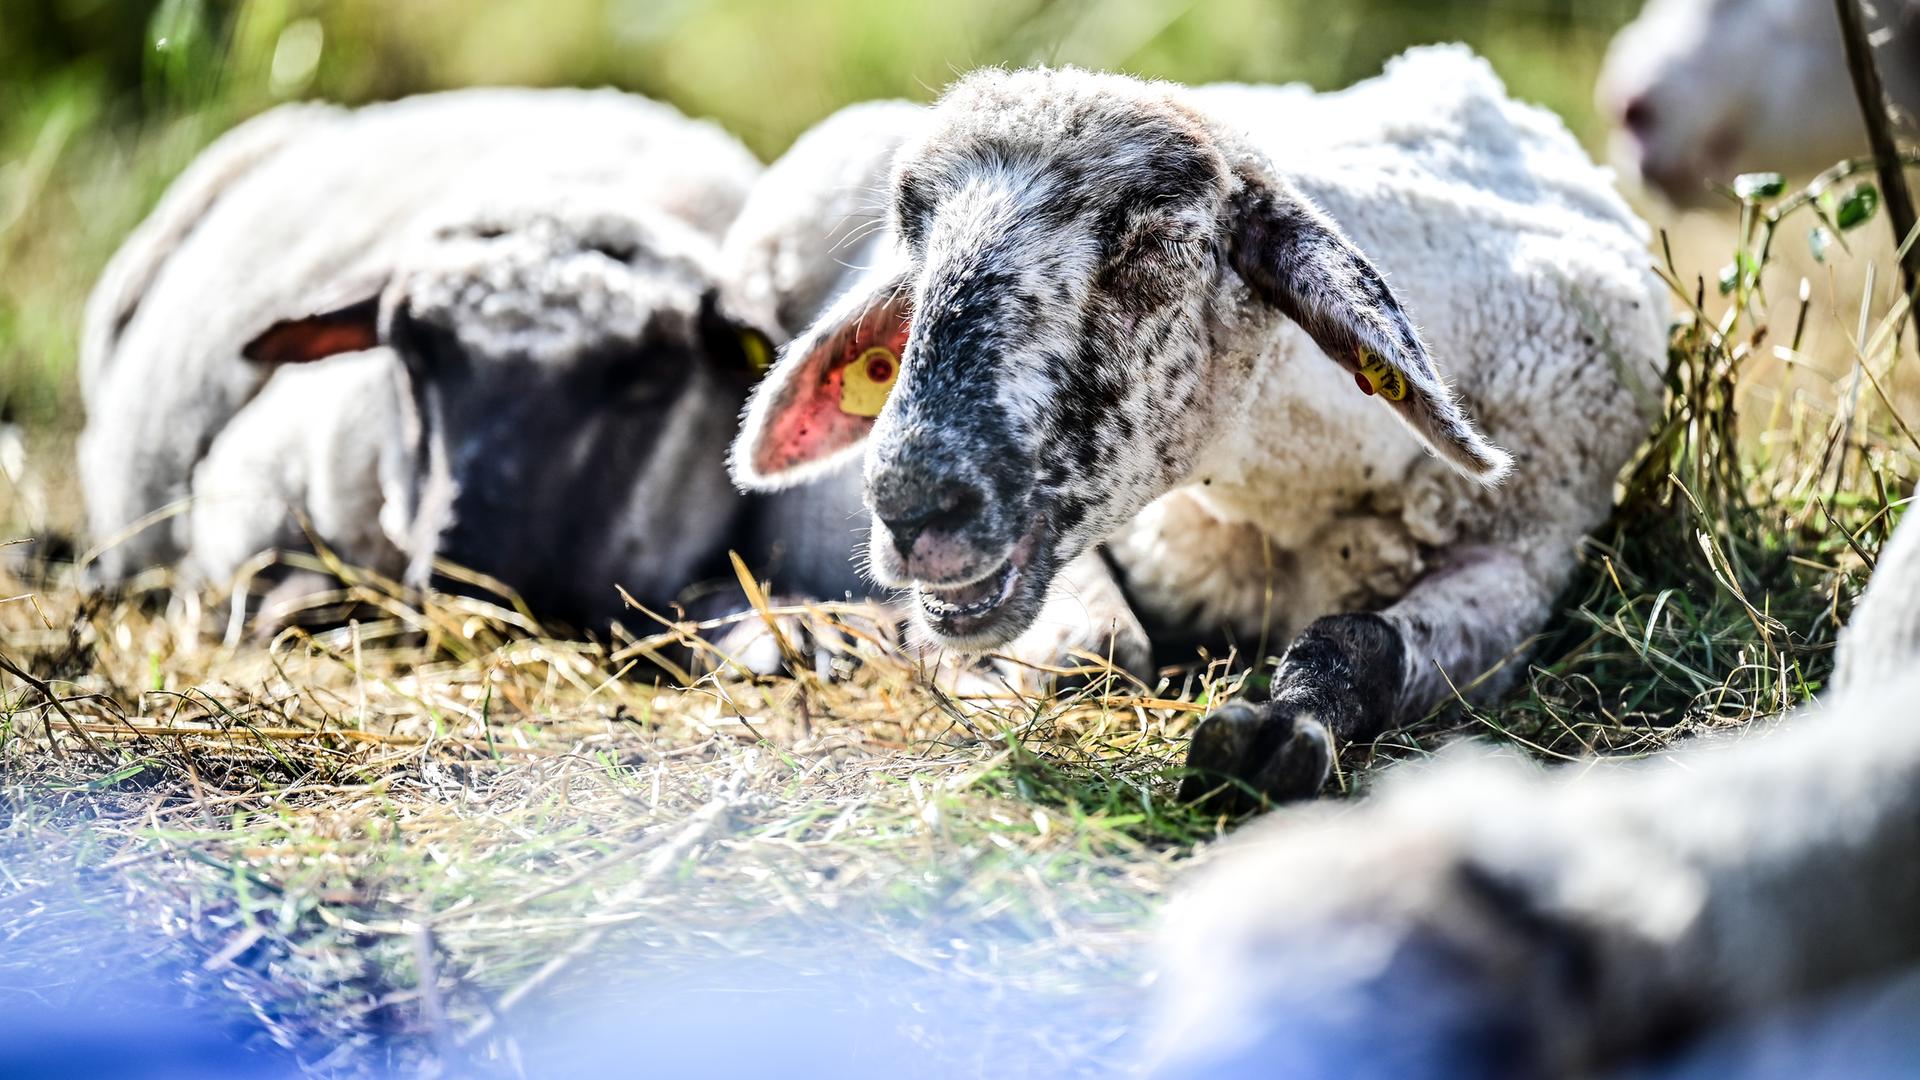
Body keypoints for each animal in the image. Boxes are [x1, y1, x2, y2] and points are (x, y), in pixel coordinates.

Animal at [725, 48, 1674, 799]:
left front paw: (1277, 738)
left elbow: (1358, 638)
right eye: (911, 244)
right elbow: (1099, 646)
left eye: (1158, 245)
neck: (1288, 499)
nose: (910, 505)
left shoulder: (1528, 557)